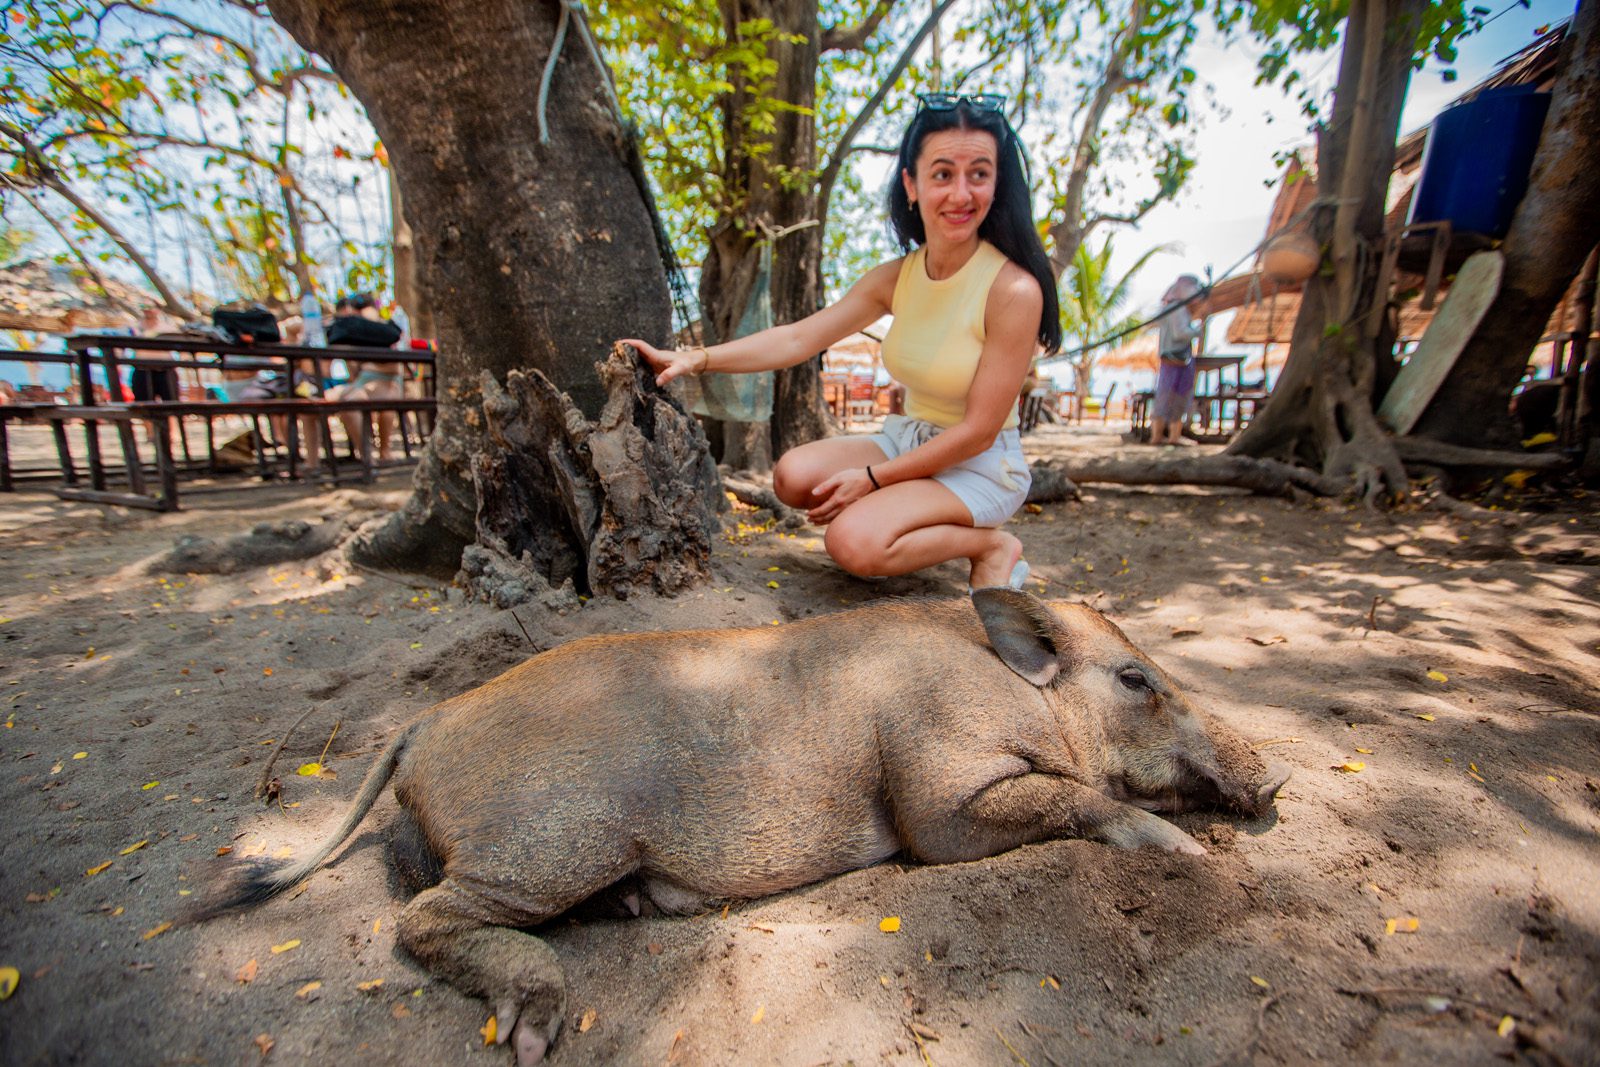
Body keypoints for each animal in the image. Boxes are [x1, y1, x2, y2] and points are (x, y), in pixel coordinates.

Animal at [193, 589, 1289, 1065]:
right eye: (1137, 678)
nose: (1275, 772)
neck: (1021, 698)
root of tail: (422, 725)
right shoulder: (936, 795)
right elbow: (1063, 800)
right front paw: (1179, 854)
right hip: (553, 839)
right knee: (419, 917)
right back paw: (536, 1032)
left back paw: (632, 913)